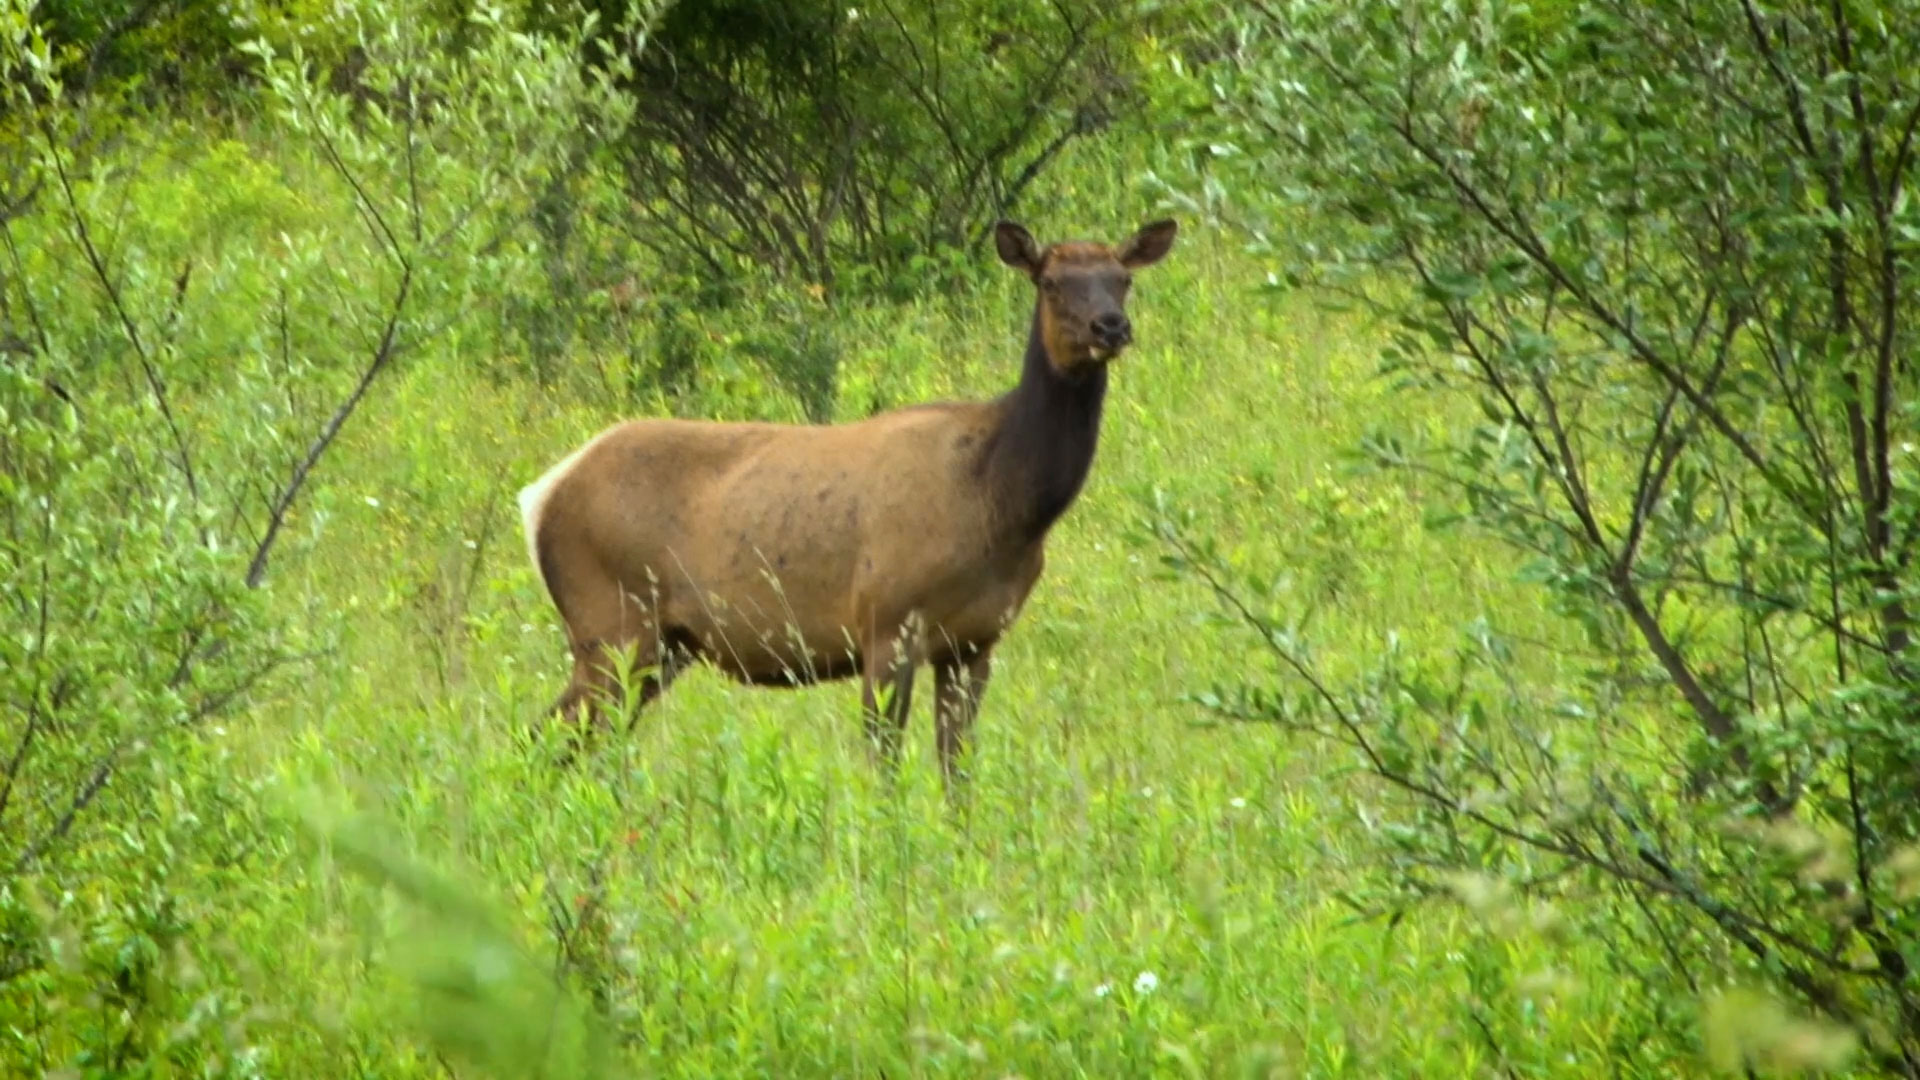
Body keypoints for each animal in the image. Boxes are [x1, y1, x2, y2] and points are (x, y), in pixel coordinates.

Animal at [526, 216, 1175, 780]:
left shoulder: (975, 641)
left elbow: (957, 768)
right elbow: (884, 763)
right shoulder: (886, 621)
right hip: (608, 623)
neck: (1000, 502)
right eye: (1049, 282)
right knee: (542, 733)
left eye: (1123, 278)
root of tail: (540, 493)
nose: (1110, 326)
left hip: (662, 645)